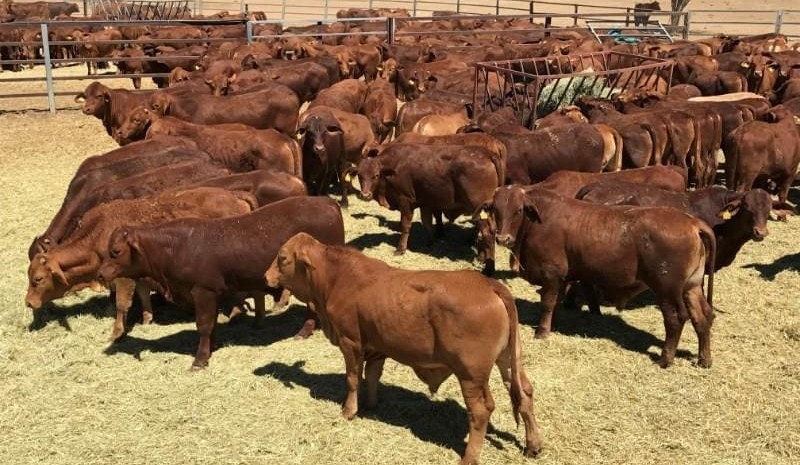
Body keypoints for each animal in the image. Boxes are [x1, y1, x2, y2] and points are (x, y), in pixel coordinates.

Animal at [26, 187, 254, 341]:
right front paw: (146, 319)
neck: (97, 233)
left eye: (38, 278)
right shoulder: (139, 274)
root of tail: (235, 195)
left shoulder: (122, 279)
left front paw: (116, 334)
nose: (29, 302)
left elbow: (121, 304)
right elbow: (143, 294)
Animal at [96, 196, 346, 368]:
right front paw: (211, 348)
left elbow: (204, 325)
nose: (100, 274)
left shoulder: (203, 291)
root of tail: (327, 202)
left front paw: (200, 359)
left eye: (116, 251)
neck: (176, 247)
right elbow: (212, 325)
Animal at [264, 233, 543, 465]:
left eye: (282, 258)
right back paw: (533, 445)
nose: (266, 276)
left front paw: (349, 411)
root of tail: (490, 285)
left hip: (470, 374)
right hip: (509, 359)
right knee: (525, 392)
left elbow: (353, 378)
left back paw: (469, 457)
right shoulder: (377, 346)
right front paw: (371, 404)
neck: (337, 278)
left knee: (481, 411)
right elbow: (372, 375)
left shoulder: (350, 341)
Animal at [488, 186, 716, 368]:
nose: (502, 238)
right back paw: (704, 359)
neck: (538, 220)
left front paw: (542, 332)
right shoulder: (565, 277)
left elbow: (547, 303)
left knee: (675, 319)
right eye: (496, 210)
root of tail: (692, 223)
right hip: (691, 287)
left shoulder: (551, 274)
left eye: (518, 210)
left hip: (667, 290)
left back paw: (665, 359)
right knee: (703, 316)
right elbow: (558, 303)